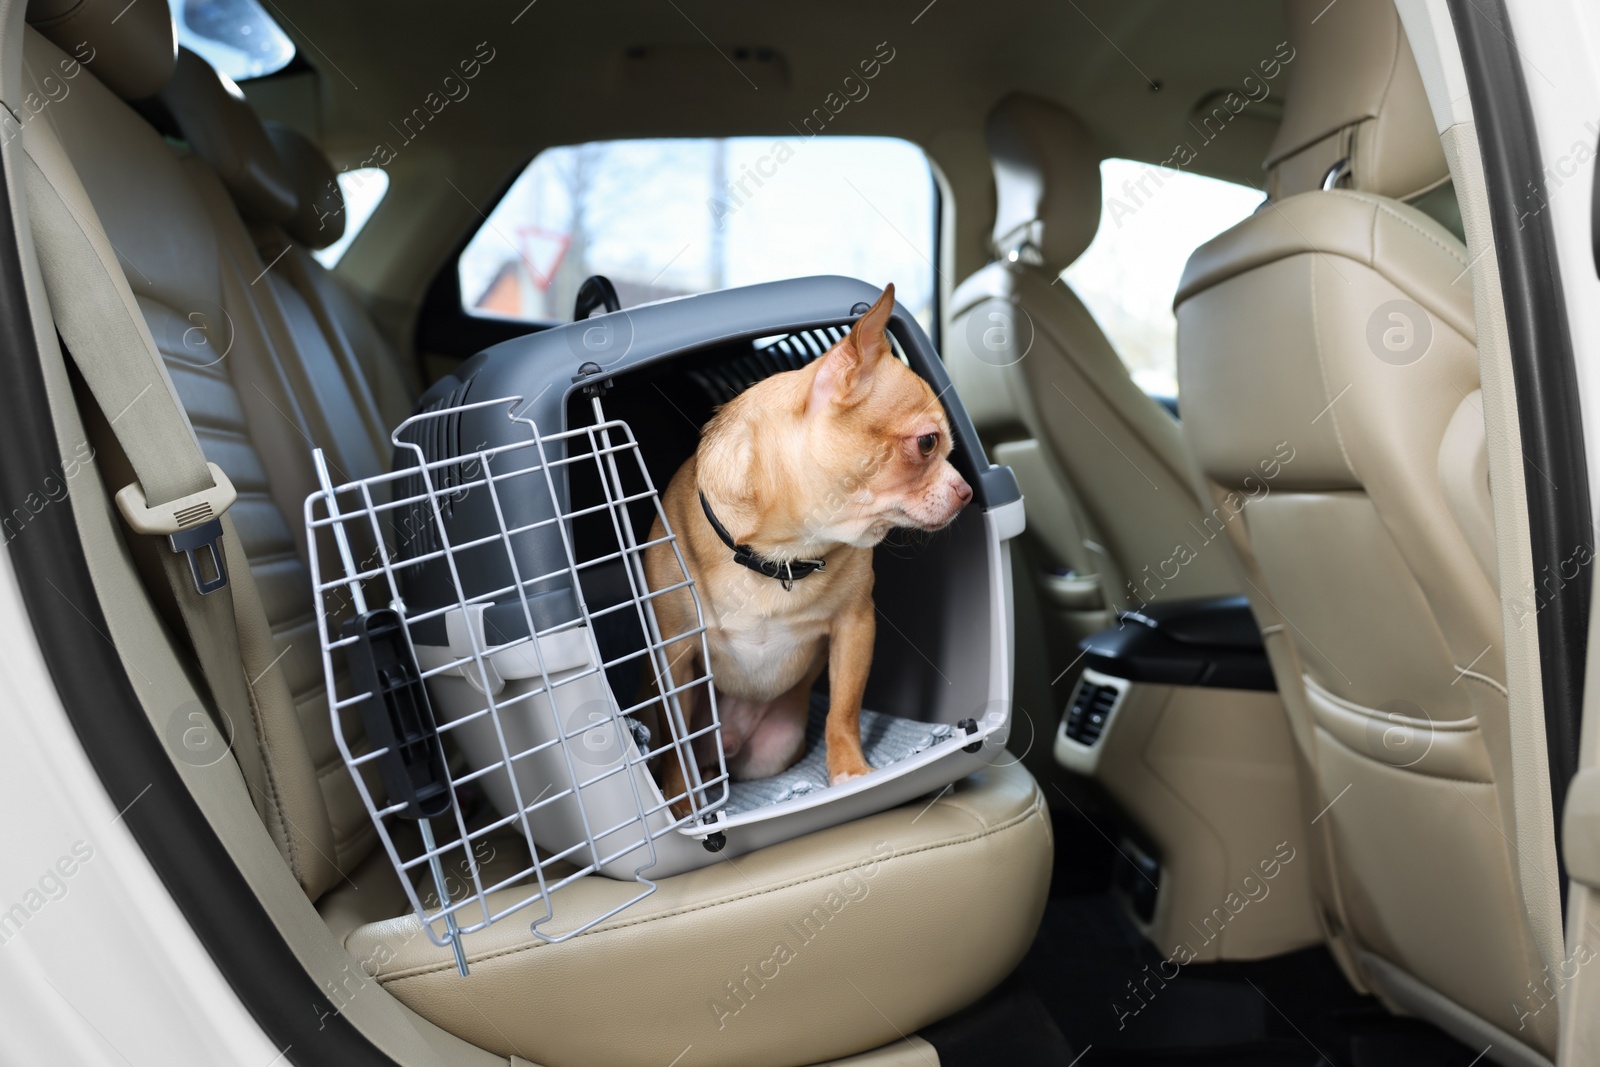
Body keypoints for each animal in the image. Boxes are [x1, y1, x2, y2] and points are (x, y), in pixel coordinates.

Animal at [640, 283, 966, 809]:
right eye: (928, 444)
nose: (967, 490)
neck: (781, 556)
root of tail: (729, 743)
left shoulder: (855, 627)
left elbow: (843, 709)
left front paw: (850, 770)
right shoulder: (675, 654)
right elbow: (677, 746)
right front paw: (684, 804)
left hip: (776, 746)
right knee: (692, 750)